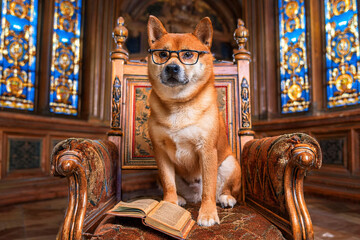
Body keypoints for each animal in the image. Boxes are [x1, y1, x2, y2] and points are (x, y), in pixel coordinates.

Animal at [146, 15, 242, 227]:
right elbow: (169, 184)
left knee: (220, 190)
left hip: (230, 163)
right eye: (163, 54)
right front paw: (169, 205)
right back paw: (180, 199)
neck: (179, 104)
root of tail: (193, 197)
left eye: (188, 54)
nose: (172, 67)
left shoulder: (206, 150)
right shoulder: (160, 153)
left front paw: (207, 214)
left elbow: (208, 188)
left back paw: (225, 198)